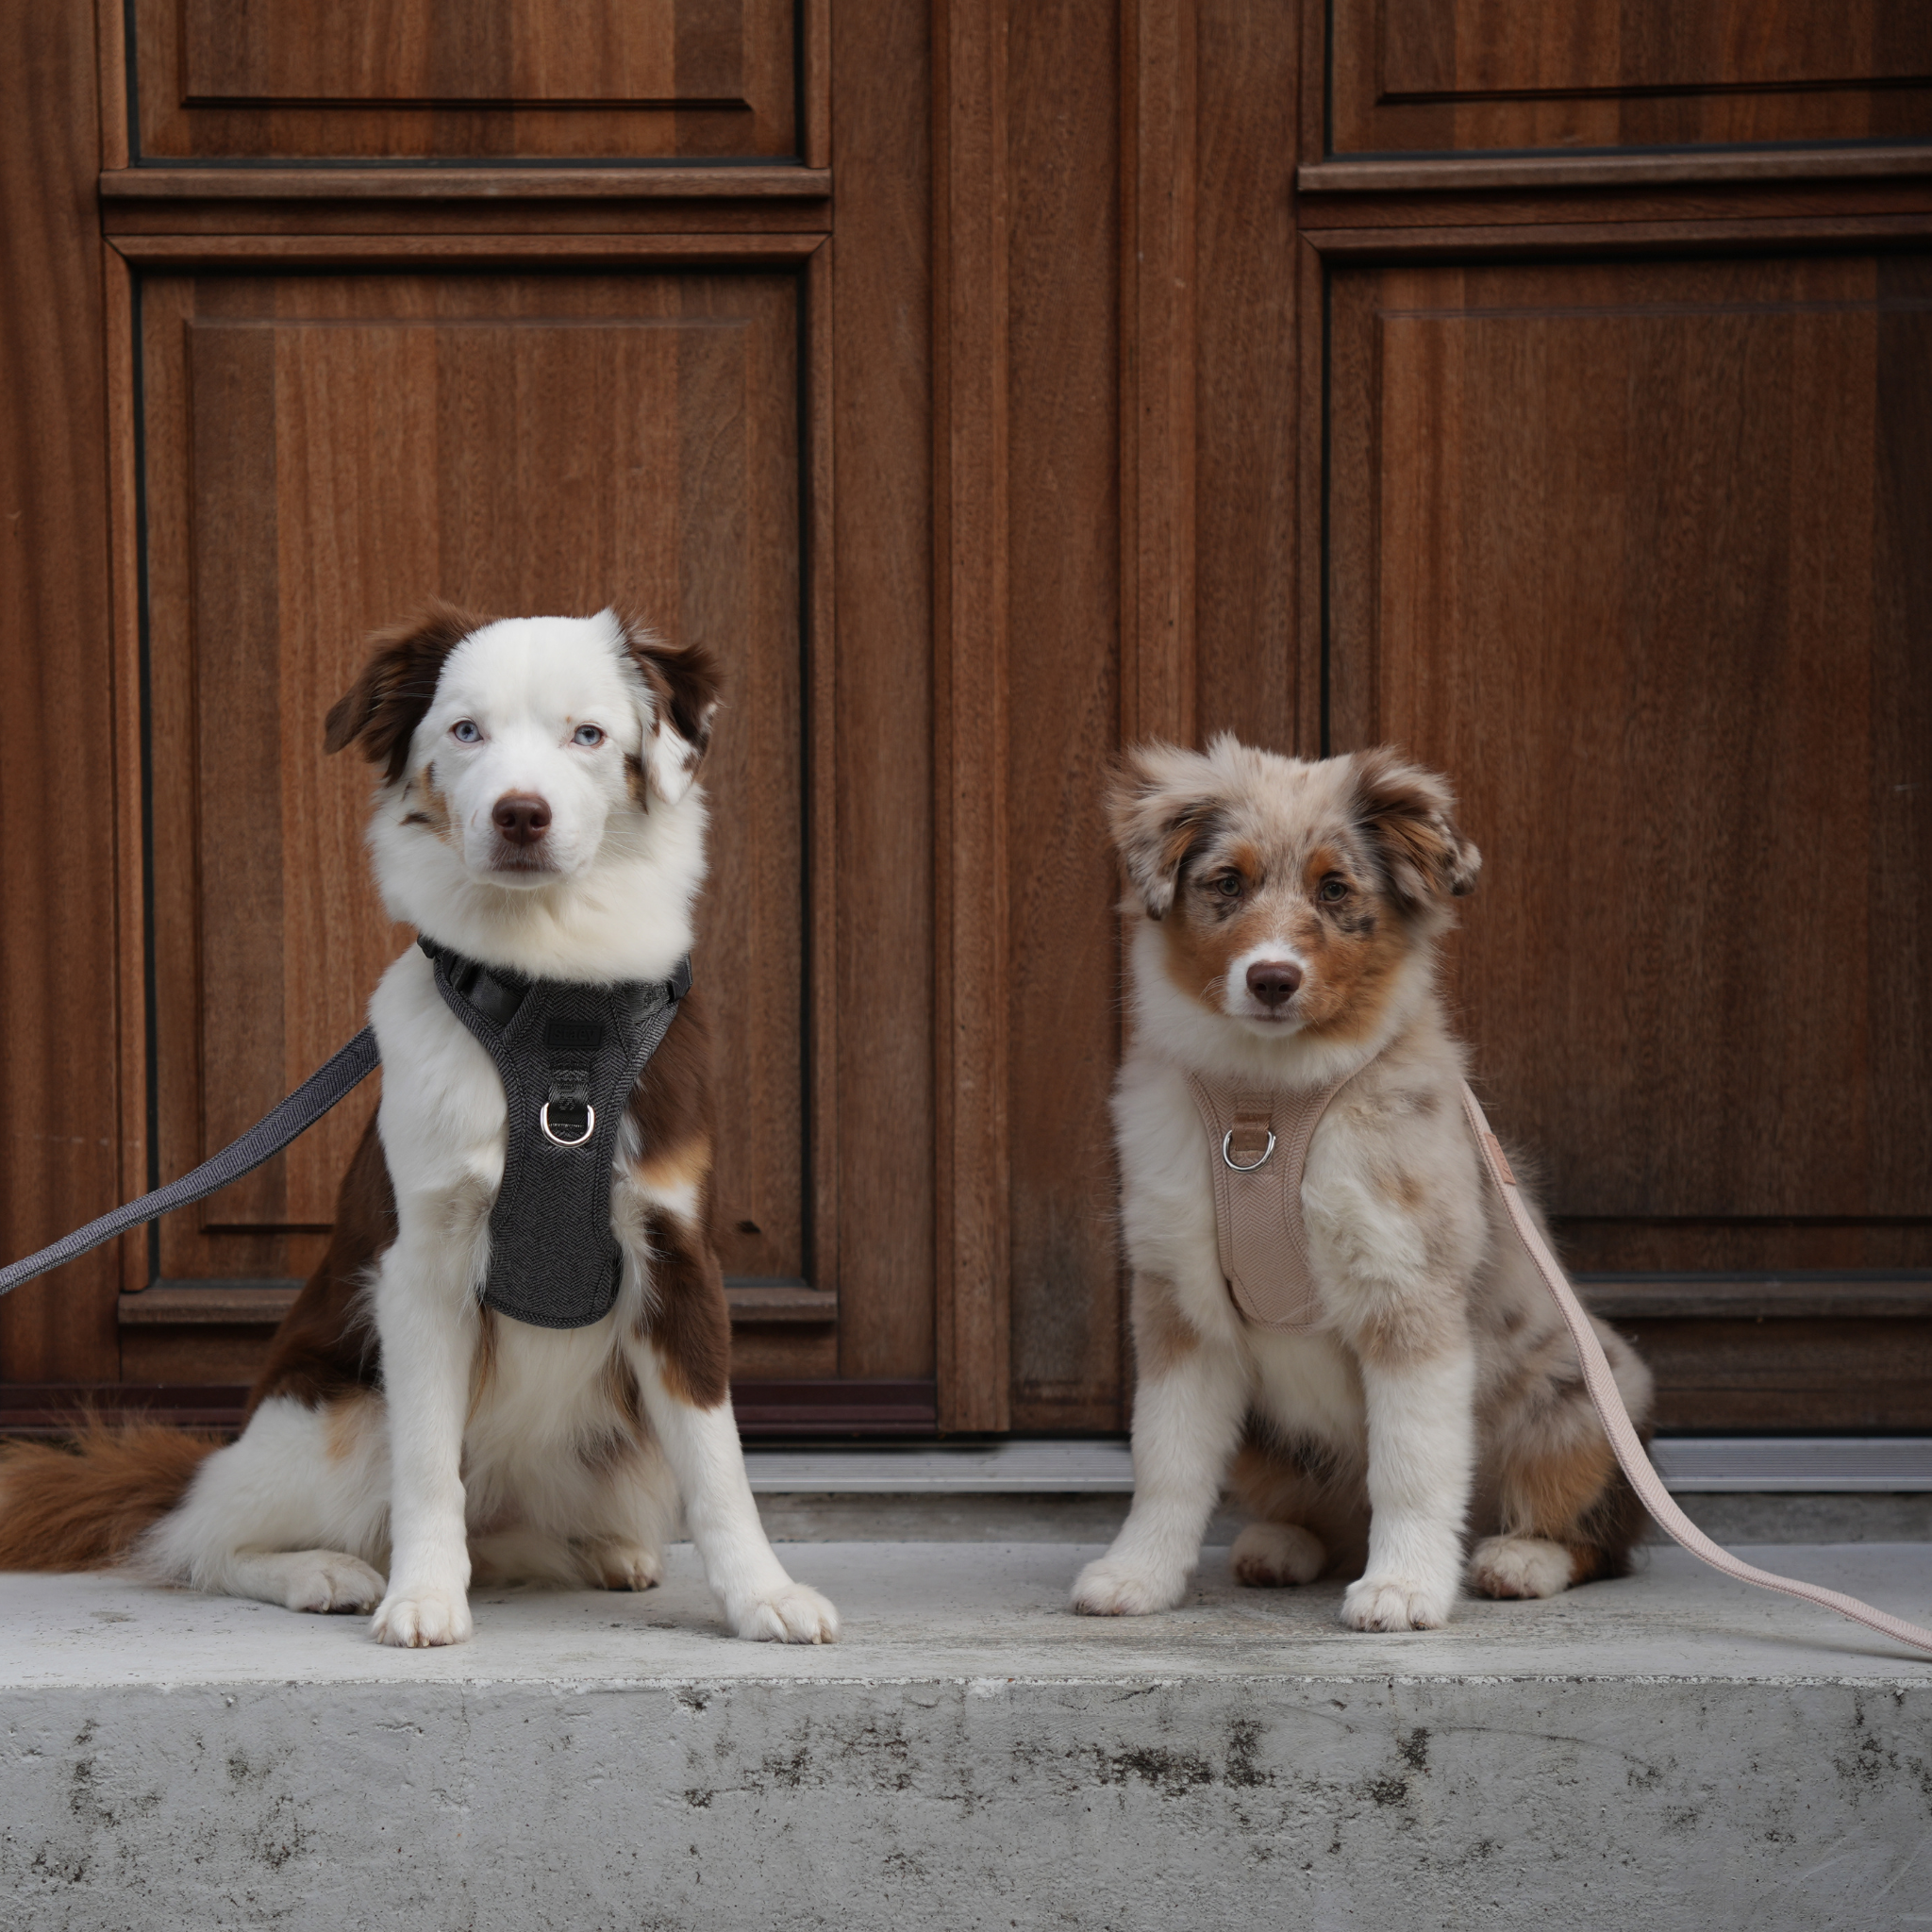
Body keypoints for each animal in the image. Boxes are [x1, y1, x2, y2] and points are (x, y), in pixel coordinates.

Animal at [0, 604, 838, 1648]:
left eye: (588, 735)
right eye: (465, 731)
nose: (520, 813)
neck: (550, 1002)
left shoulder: (678, 1253)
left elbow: (718, 1462)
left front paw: (763, 1593)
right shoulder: (422, 1269)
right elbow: (428, 1464)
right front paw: (425, 1596)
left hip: (614, 1450)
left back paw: (603, 1551)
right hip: (331, 1416)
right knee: (201, 1539)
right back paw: (323, 1571)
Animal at [1072, 736, 1652, 1632]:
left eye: (1335, 889)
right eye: (1227, 883)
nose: (1272, 978)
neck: (1267, 1103)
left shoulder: (1408, 1288)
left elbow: (1411, 1463)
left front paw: (1405, 1589)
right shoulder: (1179, 1301)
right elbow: (1165, 1457)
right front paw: (1138, 1576)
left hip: (1584, 1398)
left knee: (1601, 1533)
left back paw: (1520, 1559)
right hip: (1272, 1441)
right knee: (1327, 1516)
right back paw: (1282, 1545)